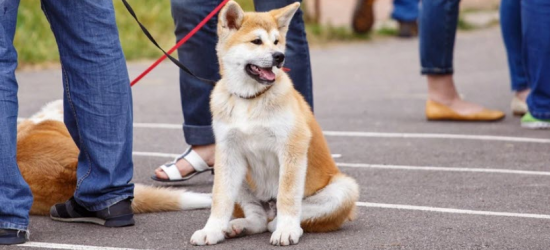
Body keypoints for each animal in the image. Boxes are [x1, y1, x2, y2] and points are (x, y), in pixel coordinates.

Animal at [191, 0, 362, 246]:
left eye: (276, 41)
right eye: (256, 41)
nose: (279, 56)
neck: (250, 99)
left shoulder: (291, 147)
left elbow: (287, 196)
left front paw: (287, 230)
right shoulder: (227, 152)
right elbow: (221, 197)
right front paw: (211, 230)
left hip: (344, 188)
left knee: (284, 216)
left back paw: (283, 226)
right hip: (240, 176)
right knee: (259, 219)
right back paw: (238, 226)